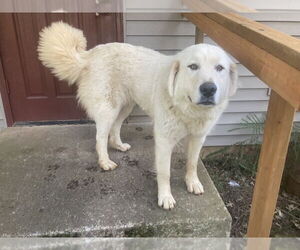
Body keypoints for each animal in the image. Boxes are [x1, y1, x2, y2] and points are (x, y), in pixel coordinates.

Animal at [38, 21, 238, 210]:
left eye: (219, 68)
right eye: (193, 66)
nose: (208, 89)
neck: (187, 107)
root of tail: (91, 54)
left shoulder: (198, 137)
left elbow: (193, 162)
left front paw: (192, 182)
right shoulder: (164, 140)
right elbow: (164, 173)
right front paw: (165, 197)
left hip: (125, 106)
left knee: (115, 128)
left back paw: (118, 145)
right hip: (108, 108)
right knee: (100, 137)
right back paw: (105, 162)